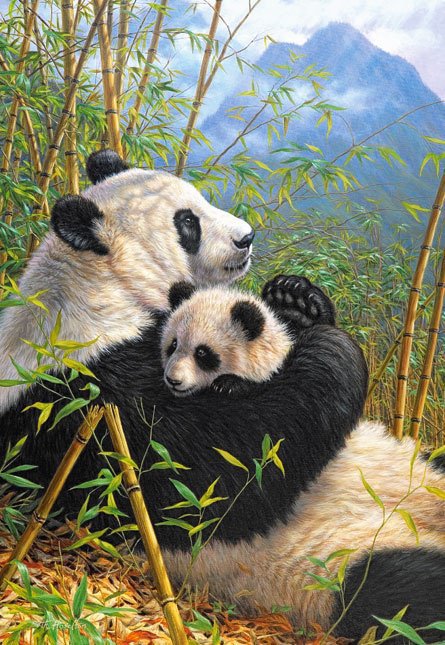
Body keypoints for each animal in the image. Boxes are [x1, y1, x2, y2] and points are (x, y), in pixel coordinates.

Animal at [159, 278, 445, 641]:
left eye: (203, 354)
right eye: (172, 345)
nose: (173, 379)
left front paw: (296, 300)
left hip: (420, 468)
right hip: (337, 564)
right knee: (400, 587)